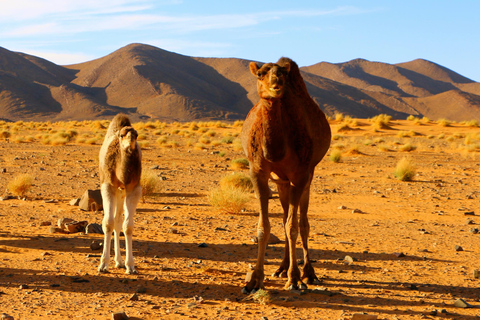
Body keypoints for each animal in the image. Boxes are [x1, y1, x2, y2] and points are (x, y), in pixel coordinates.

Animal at [97, 114, 142, 274]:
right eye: (122, 135)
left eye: (136, 135)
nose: (130, 141)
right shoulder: (107, 186)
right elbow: (108, 223)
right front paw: (103, 264)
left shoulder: (134, 188)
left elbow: (127, 226)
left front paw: (131, 266)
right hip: (116, 190)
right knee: (114, 221)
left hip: (121, 193)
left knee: (118, 221)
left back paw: (120, 261)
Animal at [242, 57, 332, 292]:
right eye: (260, 74)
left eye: (282, 73)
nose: (277, 84)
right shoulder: (258, 172)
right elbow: (264, 227)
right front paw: (255, 280)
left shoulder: (300, 174)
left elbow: (294, 226)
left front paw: (295, 279)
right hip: (281, 182)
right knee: (284, 218)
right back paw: (281, 268)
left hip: (308, 175)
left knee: (302, 222)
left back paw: (308, 273)